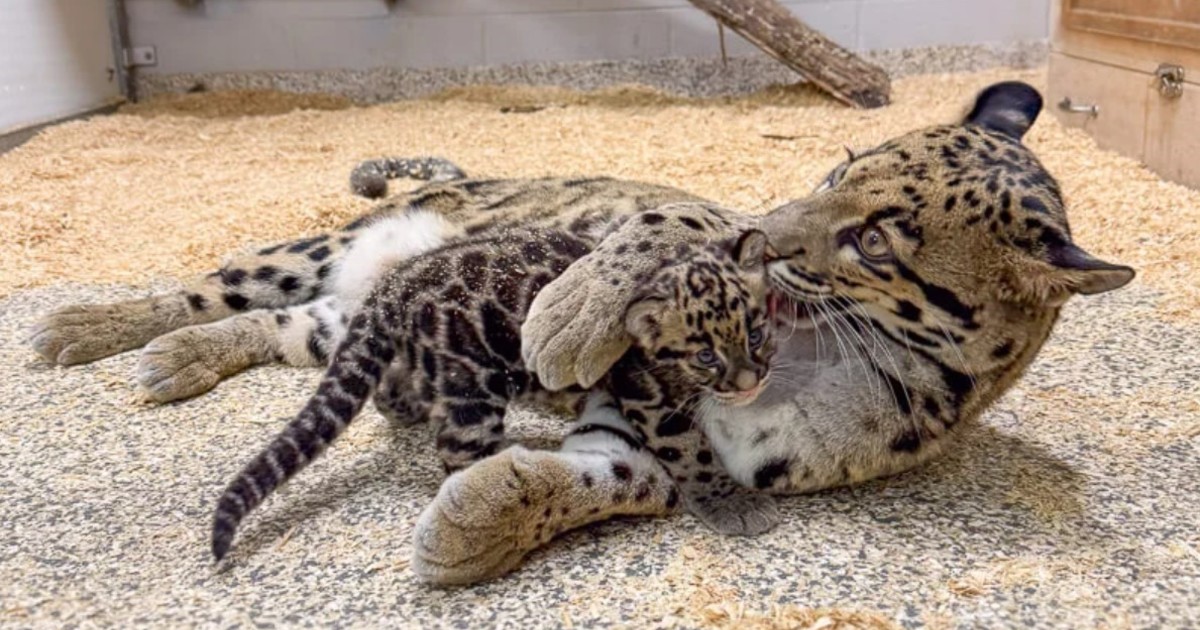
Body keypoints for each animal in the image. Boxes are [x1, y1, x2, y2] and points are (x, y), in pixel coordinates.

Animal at [211, 226, 776, 561]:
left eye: (756, 334)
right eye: (706, 356)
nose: (751, 383)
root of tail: (396, 281)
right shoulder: (648, 397)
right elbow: (690, 452)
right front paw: (730, 502)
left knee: (392, 392)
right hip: (472, 388)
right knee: (457, 451)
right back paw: (497, 479)